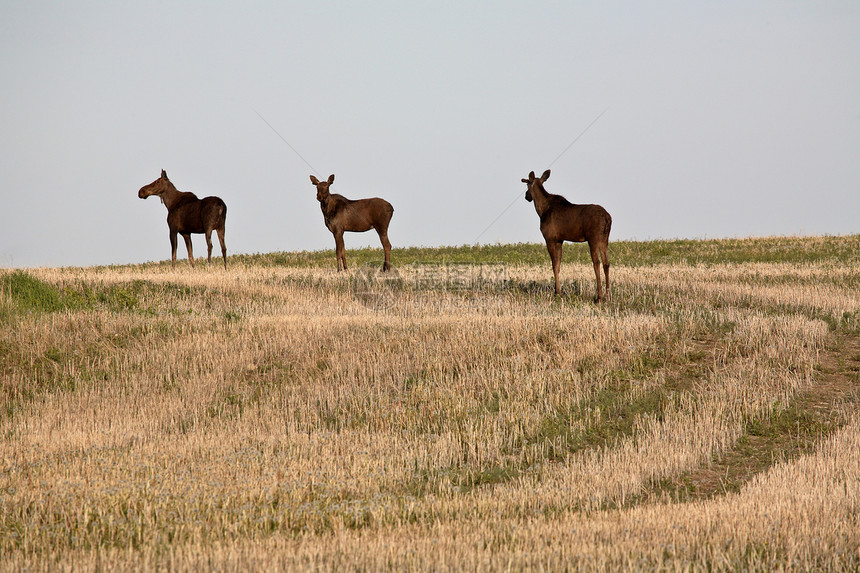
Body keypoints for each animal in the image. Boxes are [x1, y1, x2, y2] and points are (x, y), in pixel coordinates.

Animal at [524, 169, 612, 302]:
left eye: (527, 185)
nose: (526, 196)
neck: (541, 210)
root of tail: (607, 218)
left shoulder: (550, 238)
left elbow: (554, 265)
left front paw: (557, 293)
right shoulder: (560, 240)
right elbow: (558, 265)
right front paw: (558, 291)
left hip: (593, 238)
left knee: (596, 263)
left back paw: (599, 297)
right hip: (604, 239)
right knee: (606, 263)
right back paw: (607, 295)